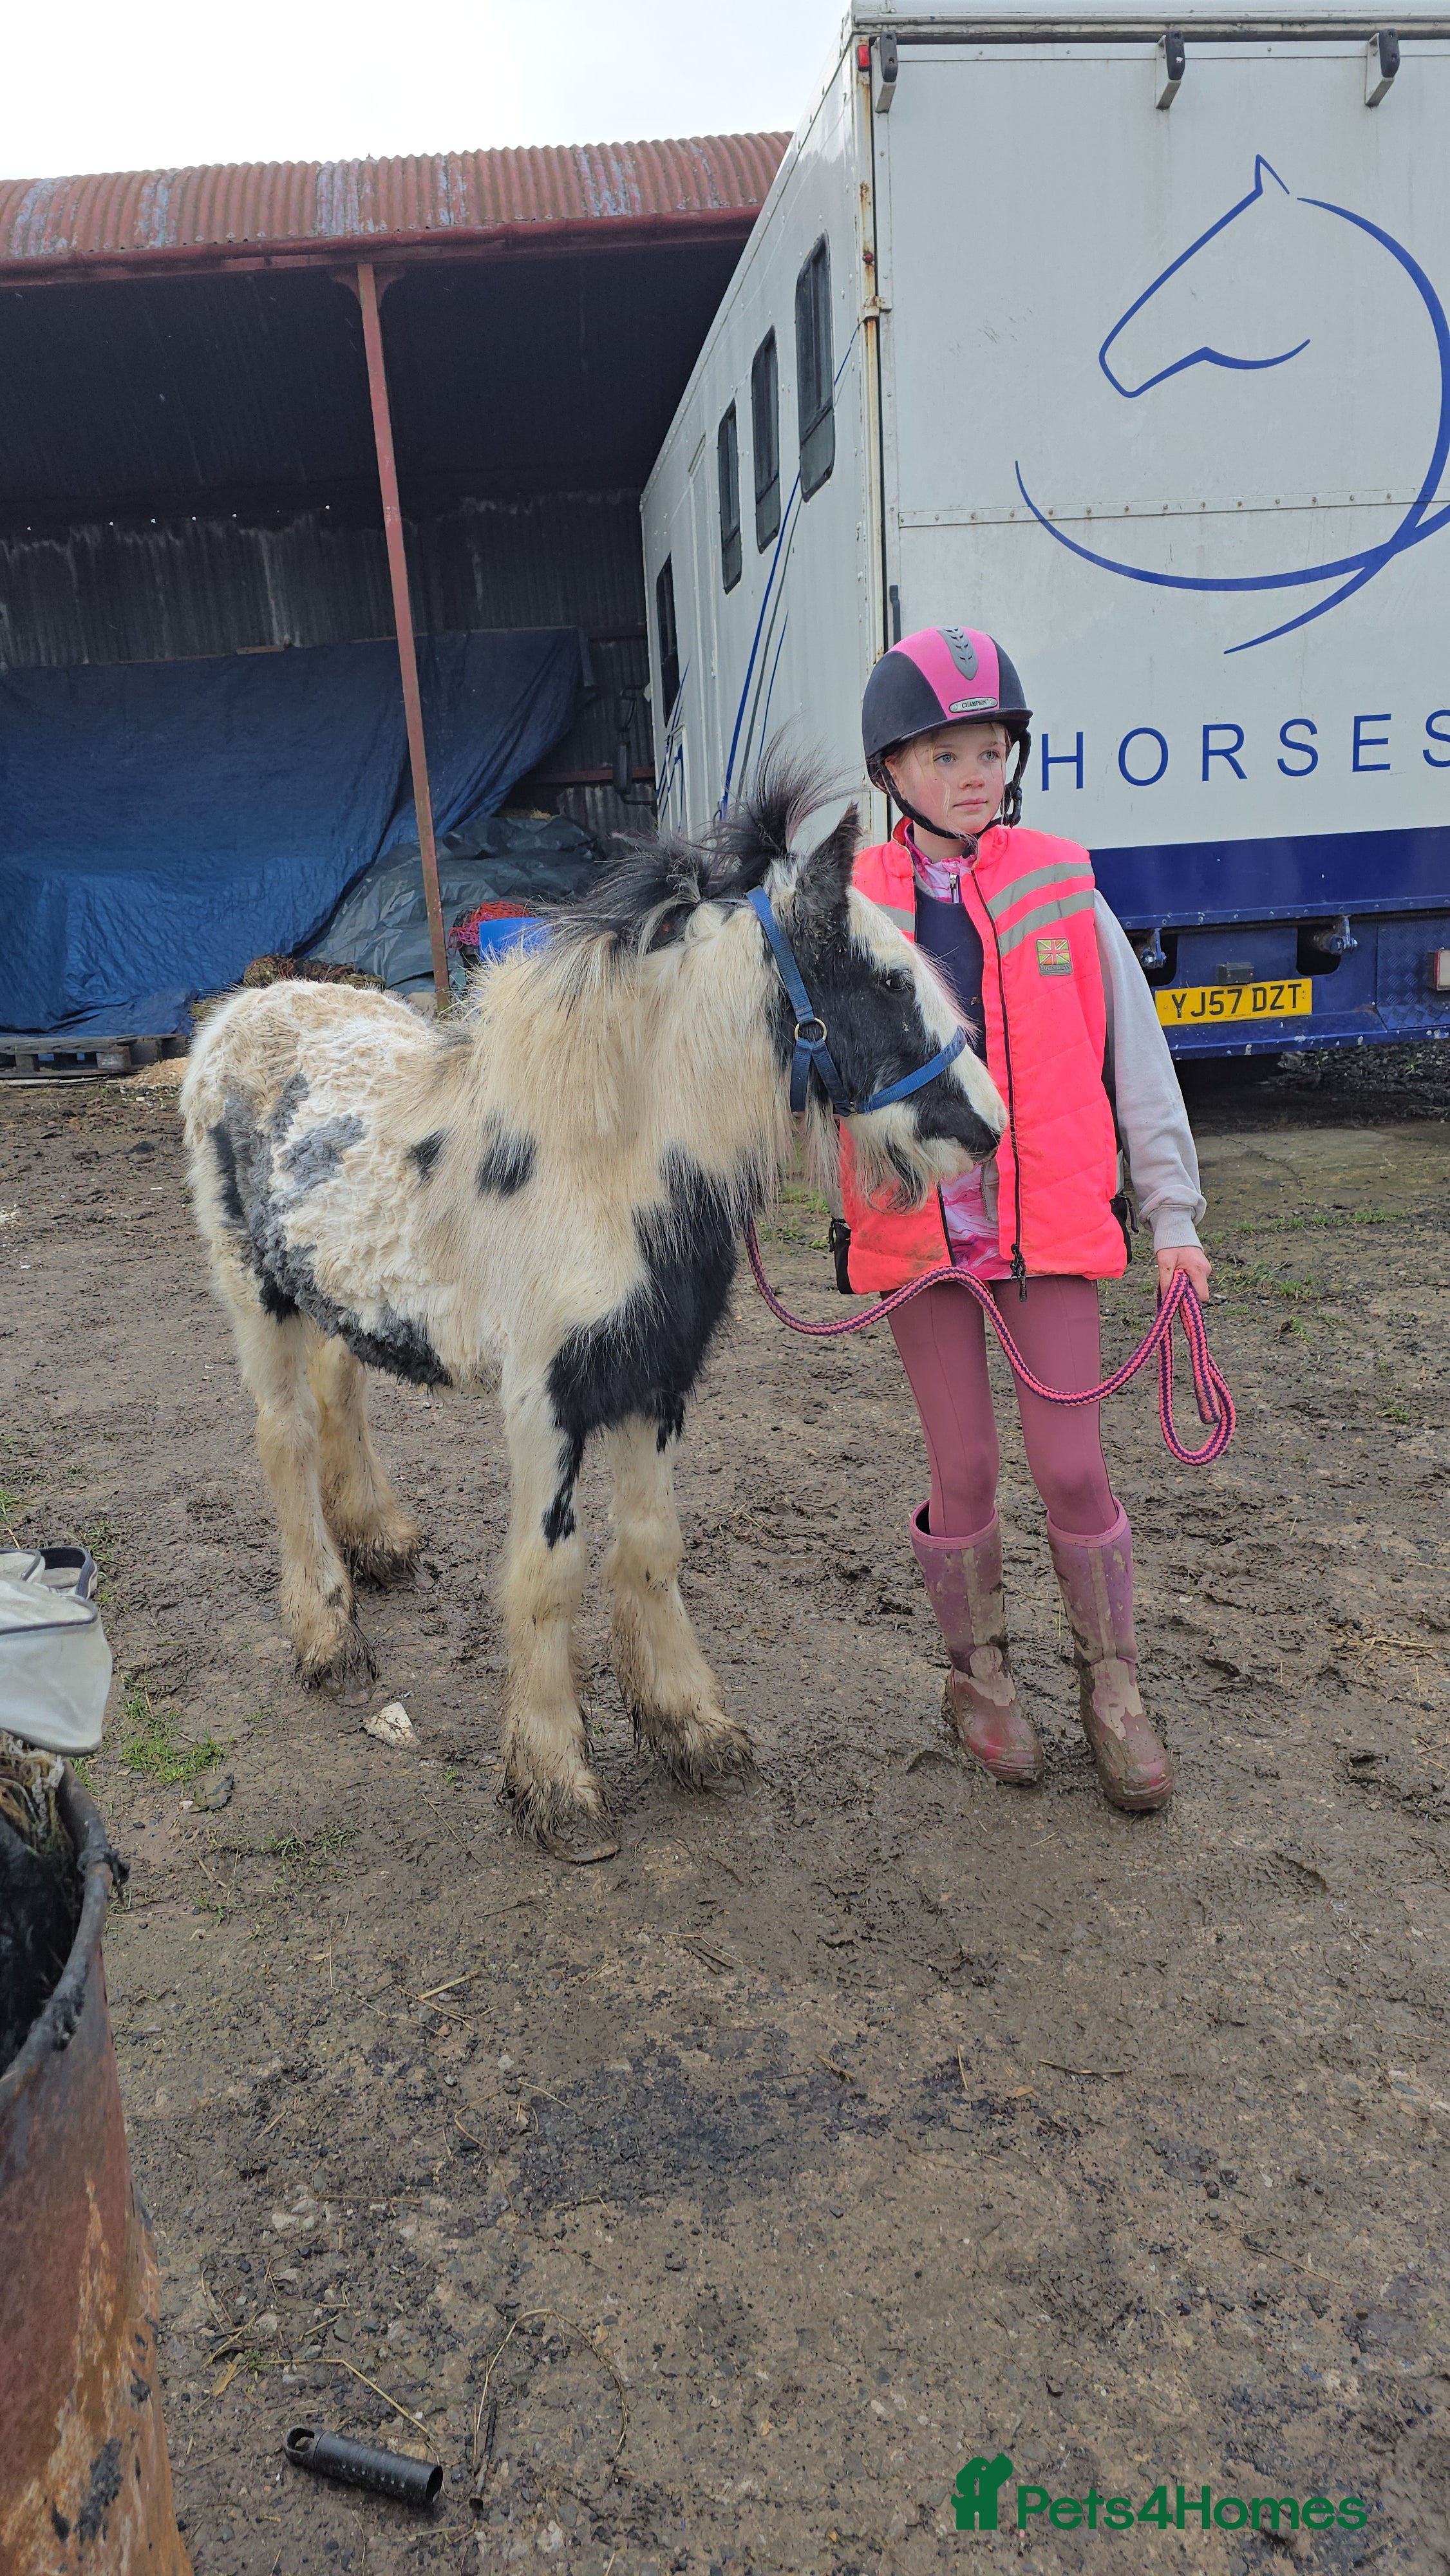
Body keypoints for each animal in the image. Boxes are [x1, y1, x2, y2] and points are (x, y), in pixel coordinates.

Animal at [180, 761, 1006, 1844]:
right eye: (888, 981)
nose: (989, 1129)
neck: (606, 1172)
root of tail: (237, 1015)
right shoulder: (550, 1402)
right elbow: (547, 1576)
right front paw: (553, 1775)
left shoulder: (657, 1382)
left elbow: (652, 1548)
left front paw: (688, 1724)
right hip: (256, 1291)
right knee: (281, 1435)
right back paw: (325, 1632)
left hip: (341, 1290)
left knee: (335, 1390)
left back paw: (380, 1540)